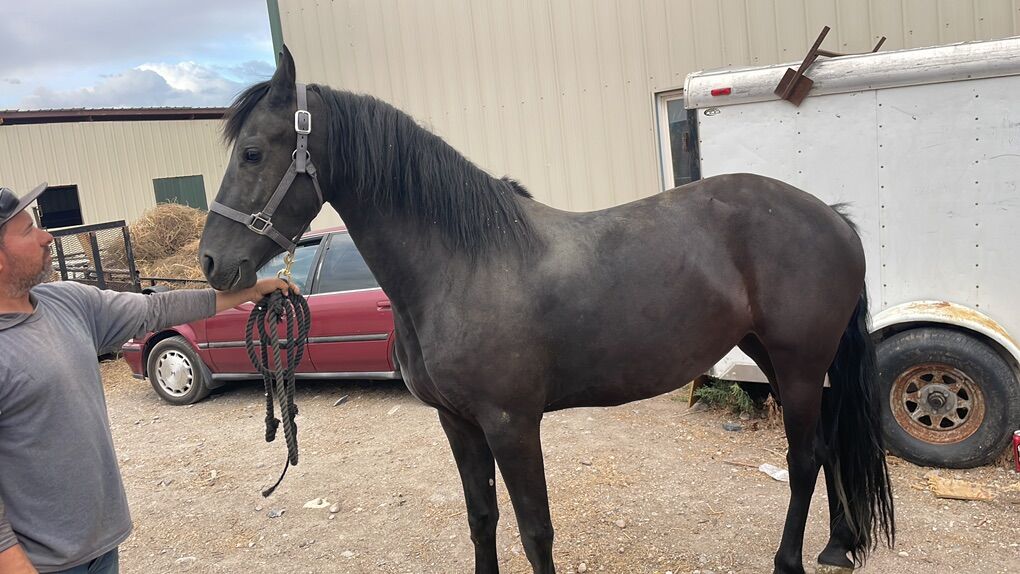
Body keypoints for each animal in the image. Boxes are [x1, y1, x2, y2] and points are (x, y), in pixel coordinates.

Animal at [199, 46, 894, 574]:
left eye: (254, 151)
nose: (211, 264)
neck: (463, 262)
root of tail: (834, 218)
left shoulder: (511, 423)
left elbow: (536, 531)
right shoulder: (458, 422)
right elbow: (482, 517)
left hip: (798, 364)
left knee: (804, 459)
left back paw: (791, 561)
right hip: (775, 357)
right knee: (829, 446)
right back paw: (838, 545)